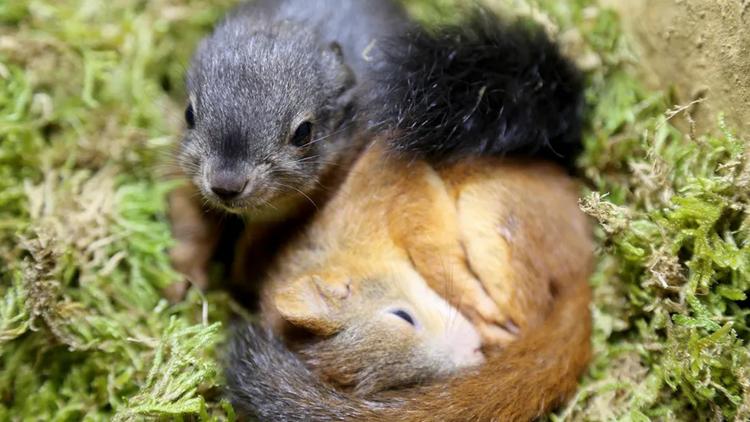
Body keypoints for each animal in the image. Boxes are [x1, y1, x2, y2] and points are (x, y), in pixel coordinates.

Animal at [226, 143, 596, 420]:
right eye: (398, 387)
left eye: (402, 316)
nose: (473, 352)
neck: (341, 245)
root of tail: (580, 266)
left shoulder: (394, 191)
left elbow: (434, 251)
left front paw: (478, 310)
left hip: (493, 219)